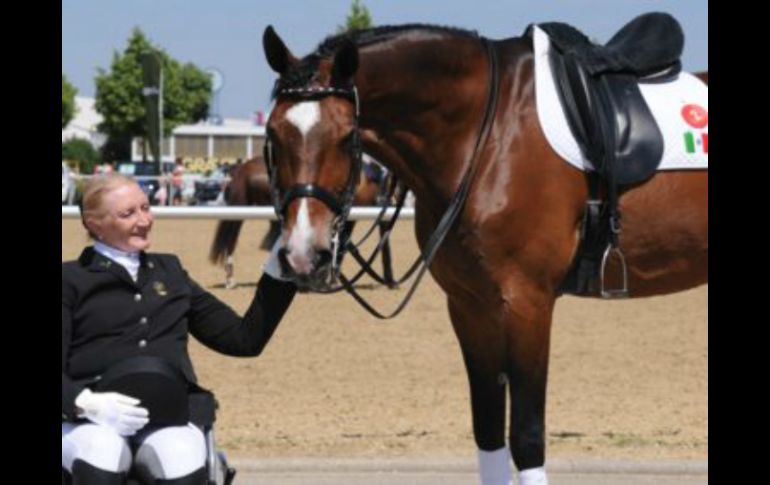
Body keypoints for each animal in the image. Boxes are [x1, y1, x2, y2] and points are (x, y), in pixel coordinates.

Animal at [260, 18, 704, 480]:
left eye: (347, 138)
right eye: (272, 134)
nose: (302, 254)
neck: (487, 135)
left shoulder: (528, 304)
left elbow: (526, 436)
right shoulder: (470, 306)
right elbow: (488, 429)